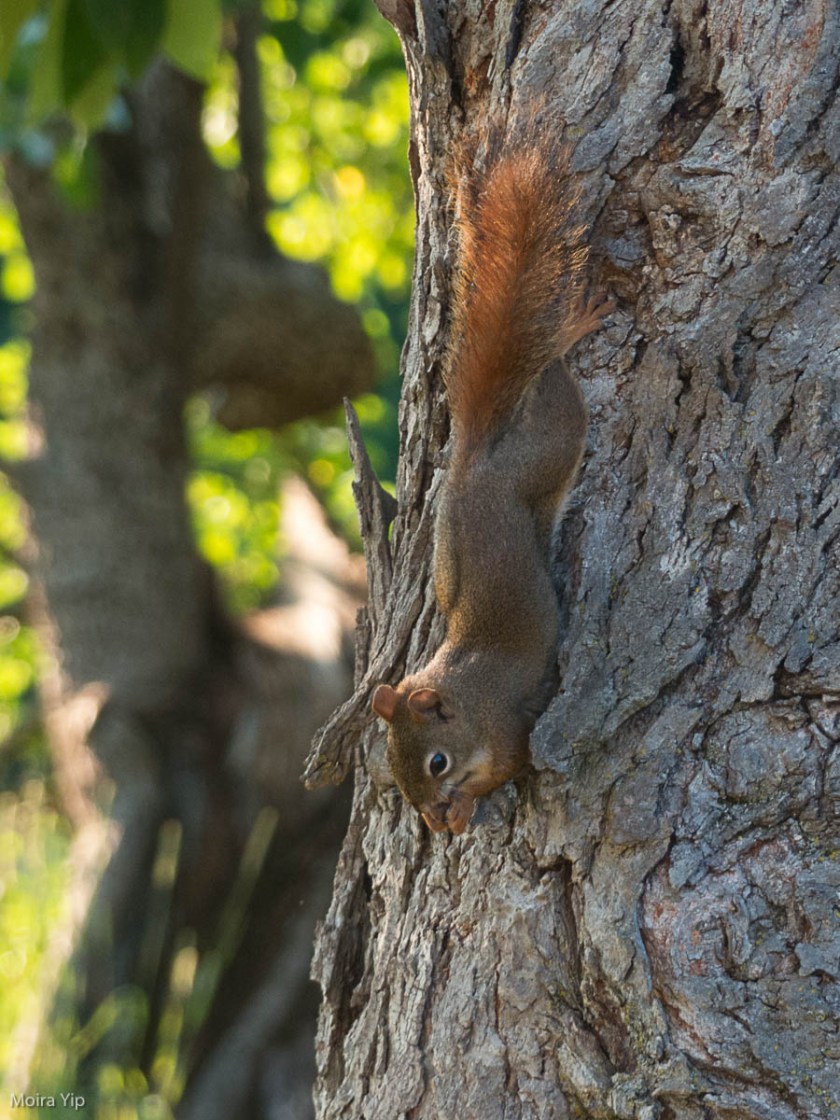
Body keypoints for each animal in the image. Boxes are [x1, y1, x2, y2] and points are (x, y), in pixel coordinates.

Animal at [371, 132, 613, 835]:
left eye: (437, 763)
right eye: (395, 772)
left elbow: (510, 766)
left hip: (549, 447)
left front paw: (463, 809)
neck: (466, 696)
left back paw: (569, 332)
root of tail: (473, 460)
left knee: (555, 384)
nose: (431, 820)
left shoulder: (507, 731)